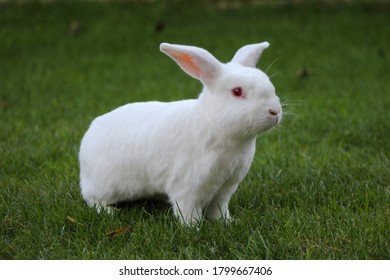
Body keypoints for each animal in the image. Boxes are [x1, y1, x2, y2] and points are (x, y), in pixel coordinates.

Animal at [79, 41, 282, 224]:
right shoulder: (189, 188)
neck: (215, 126)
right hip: (103, 187)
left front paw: (227, 222)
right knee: (92, 200)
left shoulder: (225, 188)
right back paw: (110, 212)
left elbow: (219, 208)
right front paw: (193, 229)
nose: (275, 111)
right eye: (237, 91)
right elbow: (188, 211)